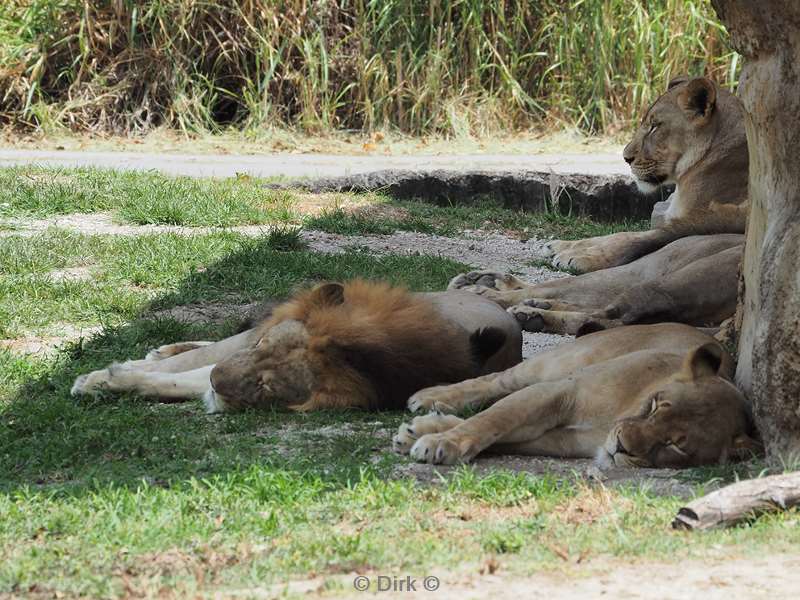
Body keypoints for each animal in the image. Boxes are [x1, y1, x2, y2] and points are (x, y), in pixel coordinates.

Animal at [69, 280, 520, 412]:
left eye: (266, 386)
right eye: (264, 346)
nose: (218, 383)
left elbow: (184, 379)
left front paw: (108, 380)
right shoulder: (245, 344)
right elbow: (198, 362)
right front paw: (98, 377)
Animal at [396, 324, 760, 468]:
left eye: (675, 446)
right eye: (656, 405)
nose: (621, 446)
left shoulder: (564, 441)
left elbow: (500, 434)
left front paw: (429, 435)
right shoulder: (560, 390)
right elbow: (492, 419)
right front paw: (442, 443)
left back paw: (420, 426)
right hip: (557, 364)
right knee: (495, 382)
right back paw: (430, 397)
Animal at [540, 75, 748, 274]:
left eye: (655, 126)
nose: (626, 158)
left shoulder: (723, 215)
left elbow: (636, 238)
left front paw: (580, 257)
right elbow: (616, 235)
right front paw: (560, 245)